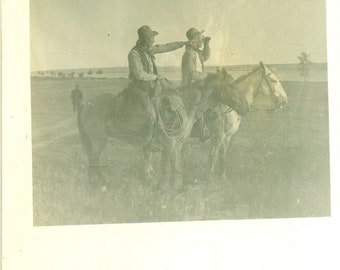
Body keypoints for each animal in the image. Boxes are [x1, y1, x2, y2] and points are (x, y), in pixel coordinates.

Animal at [76, 70, 234, 191]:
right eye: (230, 84)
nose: (239, 105)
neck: (183, 105)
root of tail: (86, 105)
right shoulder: (169, 143)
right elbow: (166, 165)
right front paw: (162, 187)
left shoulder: (177, 143)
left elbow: (175, 164)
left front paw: (175, 187)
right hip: (98, 140)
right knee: (94, 159)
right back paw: (99, 184)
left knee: (92, 159)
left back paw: (96, 183)